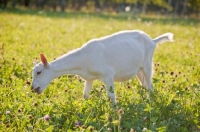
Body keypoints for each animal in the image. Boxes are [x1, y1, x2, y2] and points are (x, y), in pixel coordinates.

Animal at [31, 29, 173, 104]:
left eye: (39, 72)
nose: (33, 88)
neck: (83, 58)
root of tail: (153, 41)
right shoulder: (89, 77)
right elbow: (85, 94)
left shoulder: (107, 75)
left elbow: (111, 96)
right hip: (139, 70)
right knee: (147, 85)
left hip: (148, 62)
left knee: (149, 84)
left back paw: (150, 101)